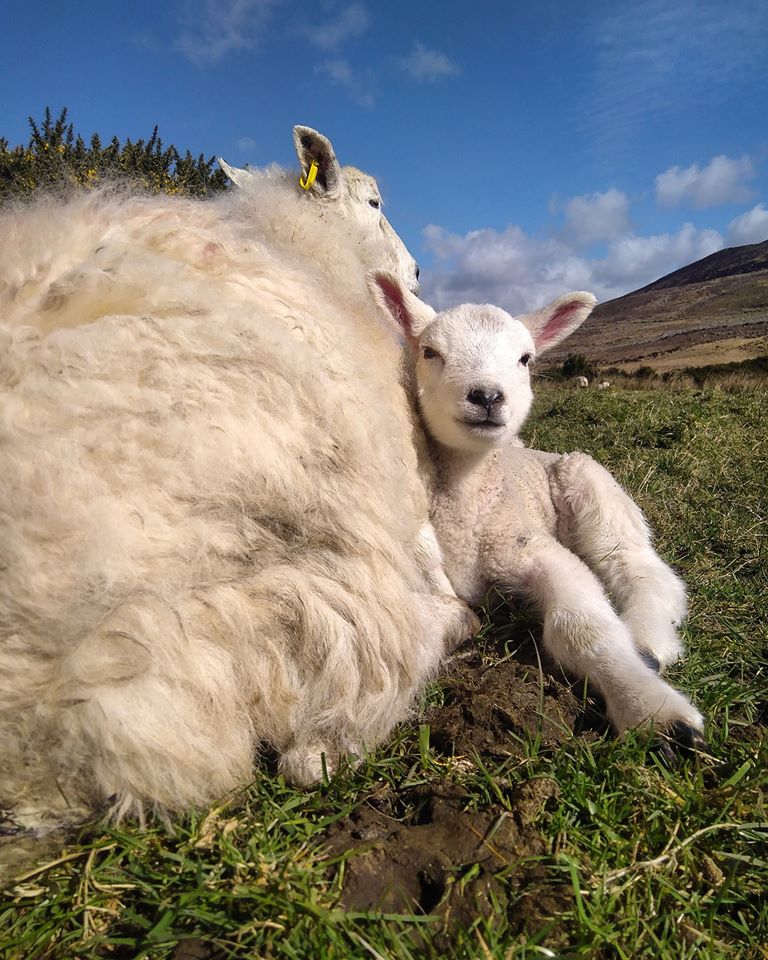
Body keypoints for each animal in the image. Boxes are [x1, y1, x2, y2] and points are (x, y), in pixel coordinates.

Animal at [369, 272, 706, 751]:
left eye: (525, 358)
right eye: (429, 352)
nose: (487, 396)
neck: (468, 510)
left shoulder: (531, 547)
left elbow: (584, 627)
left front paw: (654, 711)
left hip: (590, 482)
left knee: (639, 566)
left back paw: (646, 641)